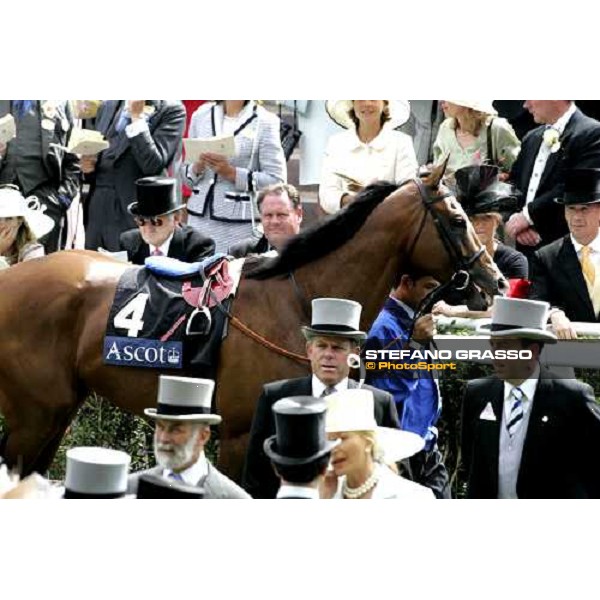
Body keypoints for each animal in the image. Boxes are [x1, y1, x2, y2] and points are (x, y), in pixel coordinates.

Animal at [0, 168, 506, 478]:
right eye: (456, 220)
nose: (495, 281)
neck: (297, 302)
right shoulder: (240, 433)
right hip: (35, 414)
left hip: (56, 411)